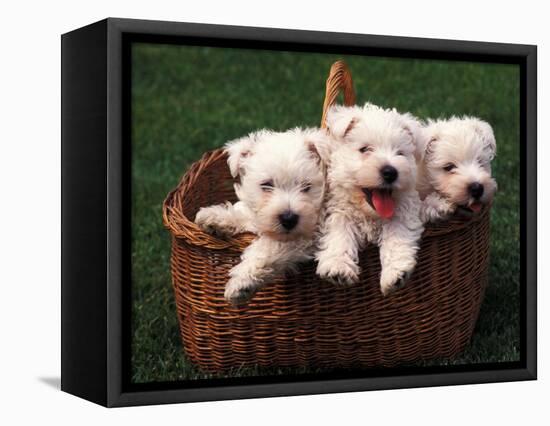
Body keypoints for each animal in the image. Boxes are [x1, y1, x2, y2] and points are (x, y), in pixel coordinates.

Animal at [314, 103, 426, 296]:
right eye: (365, 149)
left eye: (400, 153)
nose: (390, 172)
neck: (370, 214)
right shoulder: (337, 210)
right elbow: (339, 232)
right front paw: (338, 267)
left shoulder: (403, 210)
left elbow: (397, 234)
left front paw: (395, 273)